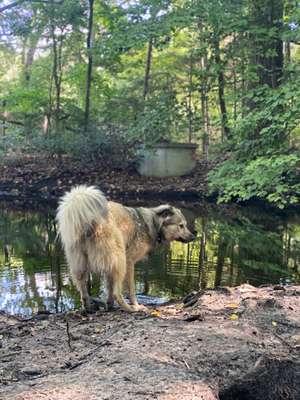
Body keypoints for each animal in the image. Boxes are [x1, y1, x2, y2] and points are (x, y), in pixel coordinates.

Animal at [56, 184, 196, 312]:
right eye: (181, 226)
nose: (194, 237)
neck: (152, 224)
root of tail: (89, 222)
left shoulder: (110, 266)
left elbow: (109, 287)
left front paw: (109, 305)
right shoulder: (129, 261)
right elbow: (131, 289)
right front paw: (135, 304)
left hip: (81, 264)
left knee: (83, 290)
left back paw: (88, 308)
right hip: (120, 260)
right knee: (117, 292)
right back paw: (131, 308)